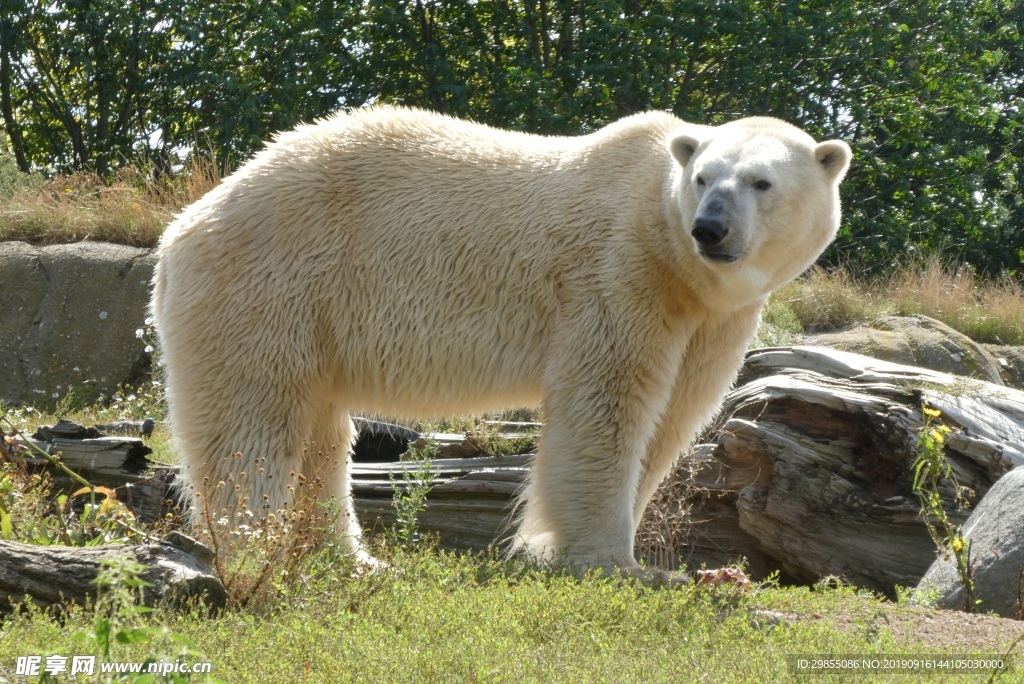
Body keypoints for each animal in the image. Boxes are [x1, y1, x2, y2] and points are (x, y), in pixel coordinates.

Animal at [151, 107, 851, 577]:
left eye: (761, 182)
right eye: (705, 177)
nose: (710, 228)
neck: (671, 249)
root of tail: (184, 225)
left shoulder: (710, 317)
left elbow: (674, 416)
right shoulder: (621, 275)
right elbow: (608, 405)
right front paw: (611, 561)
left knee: (321, 434)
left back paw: (350, 558)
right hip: (273, 283)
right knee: (253, 422)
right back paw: (256, 546)